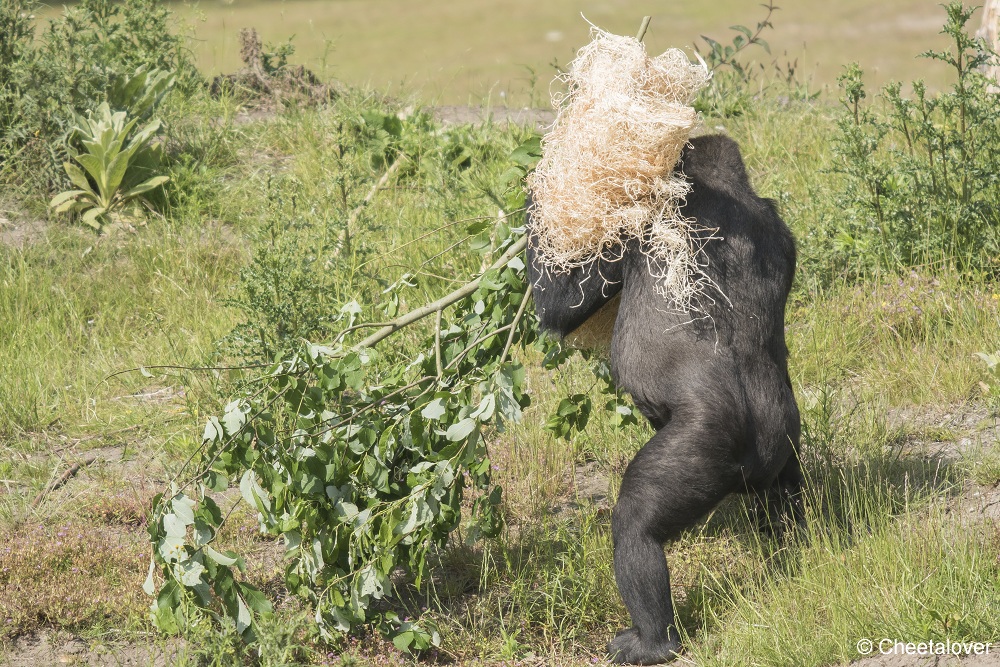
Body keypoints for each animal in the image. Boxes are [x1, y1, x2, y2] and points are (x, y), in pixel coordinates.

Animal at [528, 134, 800, 664]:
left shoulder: (631, 224)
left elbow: (559, 303)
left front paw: (536, 200)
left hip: (705, 446)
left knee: (637, 525)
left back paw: (652, 640)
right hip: (787, 435)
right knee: (790, 491)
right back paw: (800, 547)